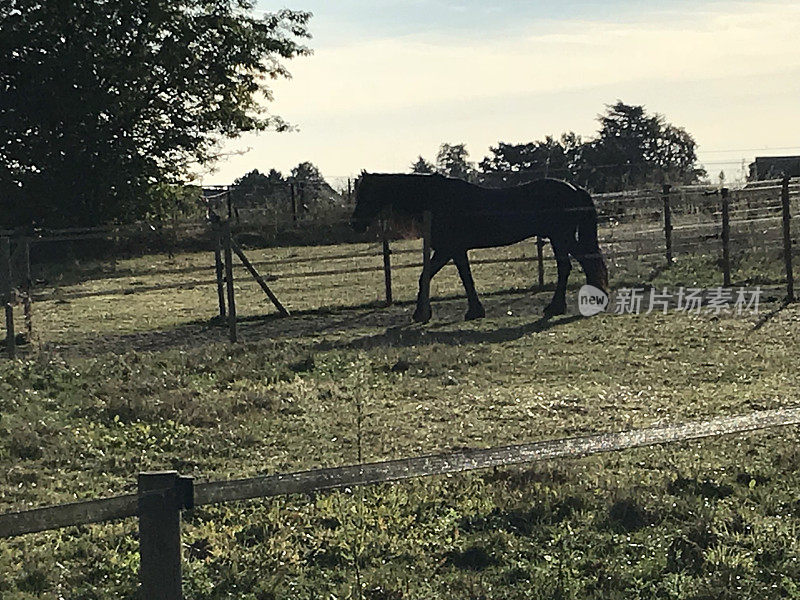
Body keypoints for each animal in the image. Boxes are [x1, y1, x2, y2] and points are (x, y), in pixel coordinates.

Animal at [350, 172, 608, 322]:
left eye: (365, 193)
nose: (355, 223)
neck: (436, 199)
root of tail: (574, 188)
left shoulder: (448, 249)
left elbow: (436, 277)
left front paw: (425, 313)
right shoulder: (453, 251)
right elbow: (455, 277)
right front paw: (470, 310)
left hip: (560, 237)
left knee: (576, 265)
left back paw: (561, 306)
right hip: (560, 238)